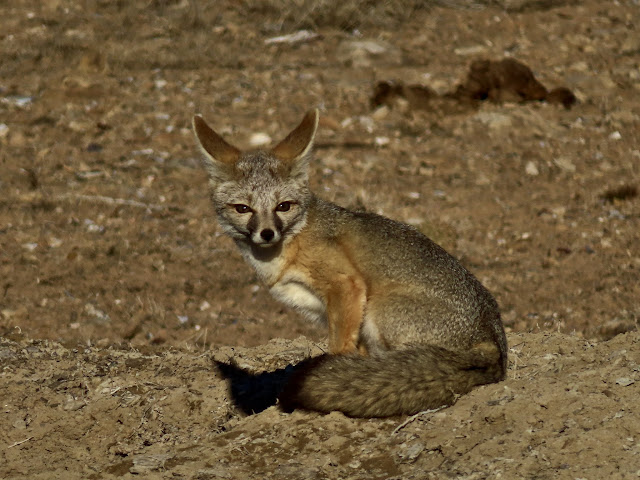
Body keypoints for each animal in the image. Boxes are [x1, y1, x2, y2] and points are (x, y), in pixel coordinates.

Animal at [192, 109, 508, 416]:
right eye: (243, 209)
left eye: (283, 206)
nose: (267, 233)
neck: (287, 249)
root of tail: (494, 341)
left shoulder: (346, 286)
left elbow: (339, 349)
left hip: (379, 311)